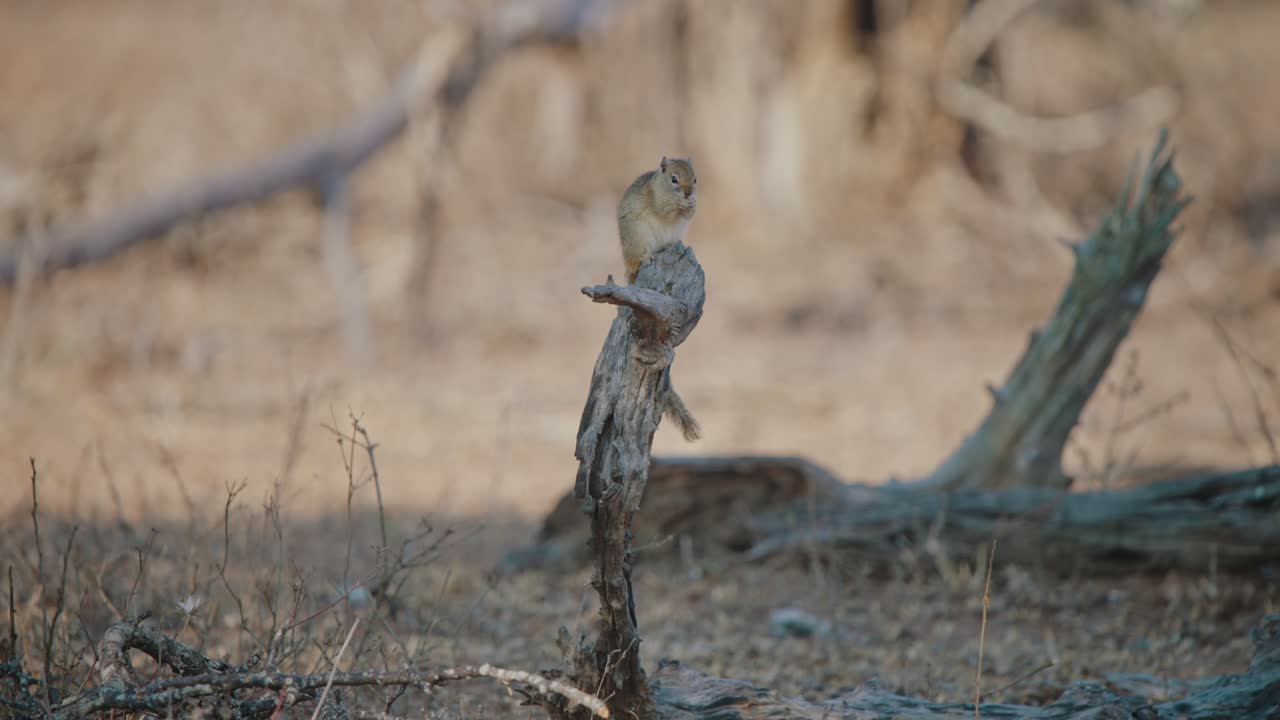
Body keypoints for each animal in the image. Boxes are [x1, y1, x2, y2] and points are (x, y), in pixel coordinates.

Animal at [616, 156, 701, 442]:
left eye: (695, 178)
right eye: (674, 179)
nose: (688, 192)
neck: (660, 186)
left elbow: (689, 215)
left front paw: (691, 205)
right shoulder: (656, 201)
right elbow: (664, 209)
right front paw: (680, 204)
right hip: (637, 239)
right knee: (641, 256)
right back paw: (647, 257)